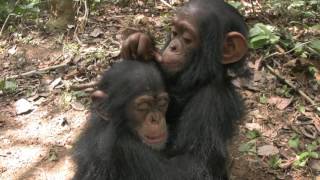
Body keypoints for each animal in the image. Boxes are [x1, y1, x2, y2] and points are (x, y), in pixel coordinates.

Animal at [121, 0, 249, 179]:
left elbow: (191, 165)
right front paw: (139, 42)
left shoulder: (211, 103)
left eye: (187, 39)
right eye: (174, 33)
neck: (199, 81)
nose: (173, 46)